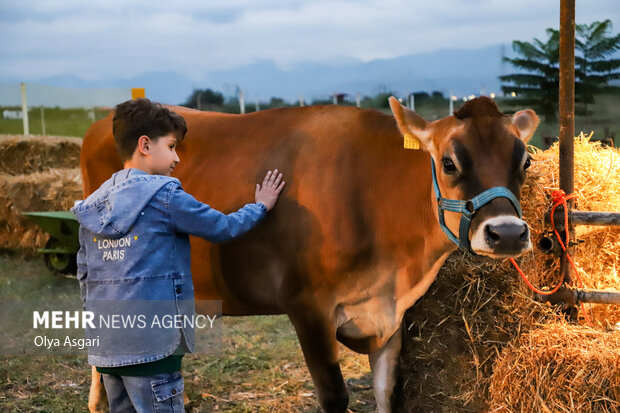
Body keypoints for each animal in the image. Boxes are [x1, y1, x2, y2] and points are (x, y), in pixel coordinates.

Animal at [81, 95, 536, 410]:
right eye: (449, 163)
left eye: (525, 162)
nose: (507, 233)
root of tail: (101, 122)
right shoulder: (307, 306)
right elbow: (335, 396)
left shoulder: (391, 315)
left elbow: (388, 394)